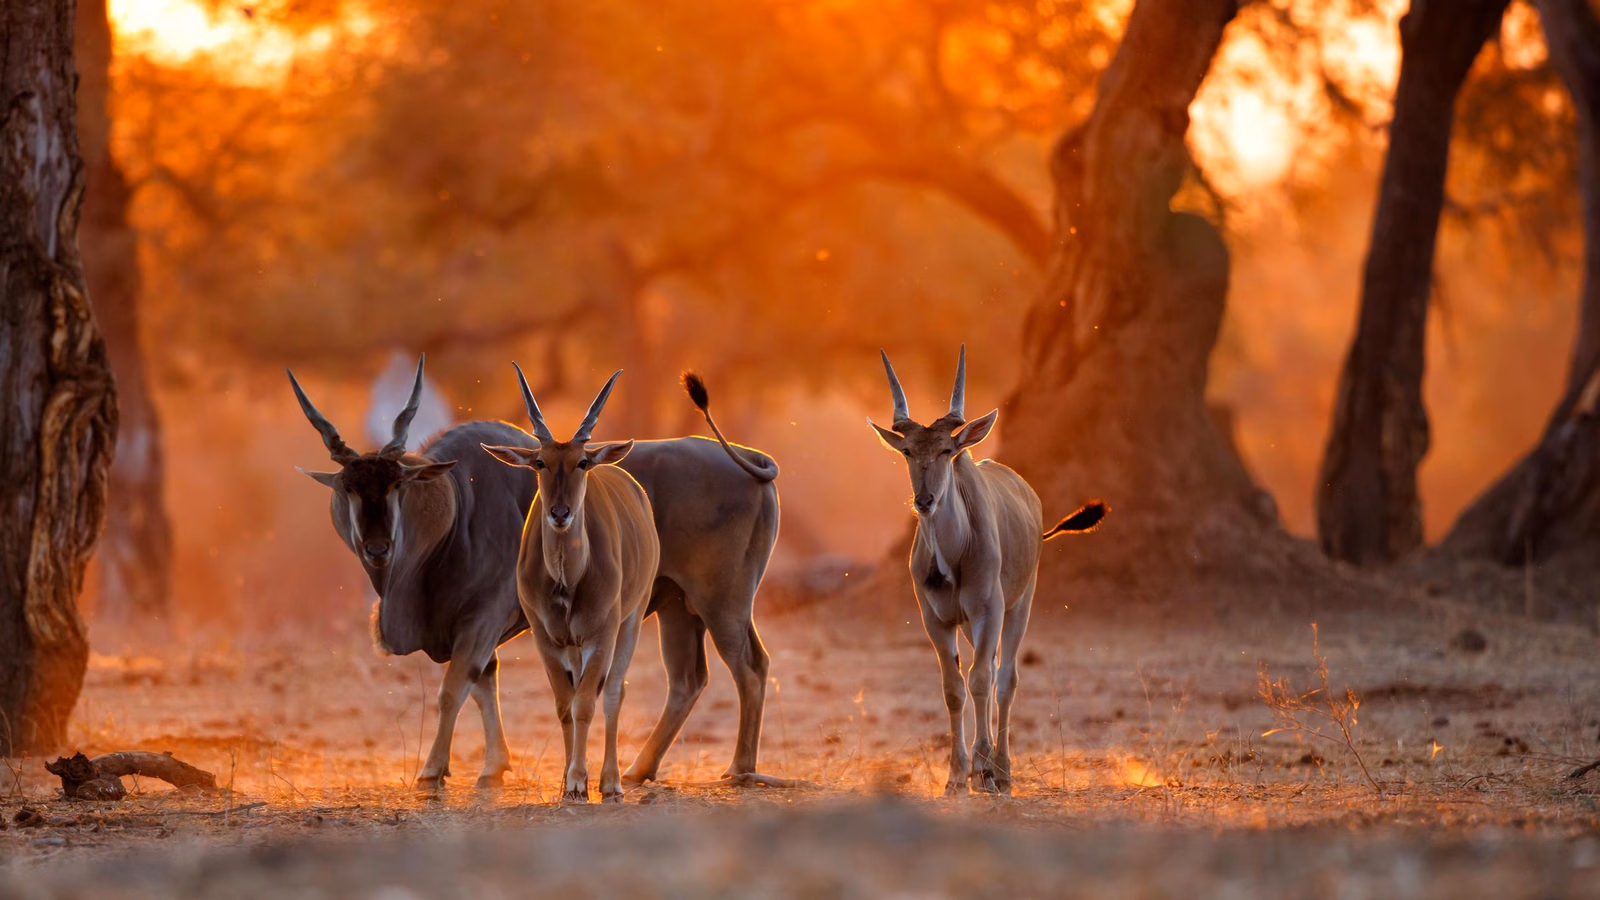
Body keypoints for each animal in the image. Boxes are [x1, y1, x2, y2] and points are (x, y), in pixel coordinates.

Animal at [290, 355, 533, 789]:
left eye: (397, 485)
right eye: (347, 487)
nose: (378, 549)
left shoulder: (483, 618)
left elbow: (452, 689)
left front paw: (432, 769)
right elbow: (482, 681)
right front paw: (494, 766)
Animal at [482, 367, 660, 803]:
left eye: (581, 462)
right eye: (539, 462)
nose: (560, 513)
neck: (567, 580)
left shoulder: (602, 633)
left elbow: (586, 704)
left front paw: (581, 781)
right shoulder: (546, 637)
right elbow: (565, 704)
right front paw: (567, 782)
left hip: (631, 619)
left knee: (612, 693)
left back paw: (611, 782)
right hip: (576, 645)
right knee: (583, 691)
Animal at [870, 346, 1106, 795]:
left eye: (947, 450)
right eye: (907, 451)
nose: (924, 500)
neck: (953, 553)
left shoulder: (989, 610)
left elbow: (981, 680)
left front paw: (983, 770)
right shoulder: (936, 620)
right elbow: (954, 688)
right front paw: (956, 776)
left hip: (1019, 606)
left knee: (1005, 679)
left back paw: (1002, 769)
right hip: (972, 624)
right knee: (992, 674)